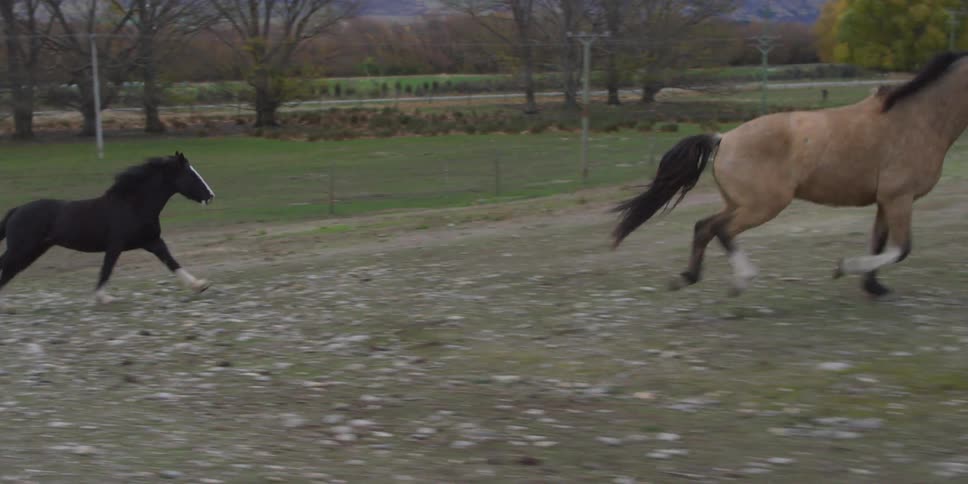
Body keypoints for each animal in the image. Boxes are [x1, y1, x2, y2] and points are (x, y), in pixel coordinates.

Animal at [0, 152, 215, 304]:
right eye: (192, 175)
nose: (211, 195)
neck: (133, 206)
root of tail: (16, 210)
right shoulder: (115, 245)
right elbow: (107, 269)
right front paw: (103, 298)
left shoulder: (152, 241)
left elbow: (171, 261)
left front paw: (199, 285)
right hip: (22, 249)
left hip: (33, 251)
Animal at [611, 51, 968, 297]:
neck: (916, 120)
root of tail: (723, 138)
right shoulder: (899, 198)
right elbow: (900, 249)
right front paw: (843, 269)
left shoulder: (886, 200)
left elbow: (879, 244)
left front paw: (873, 288)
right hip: (764, 205)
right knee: (722, 230)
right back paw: (741, 281)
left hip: (739, 203)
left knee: (704, 226)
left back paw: (687, 277)